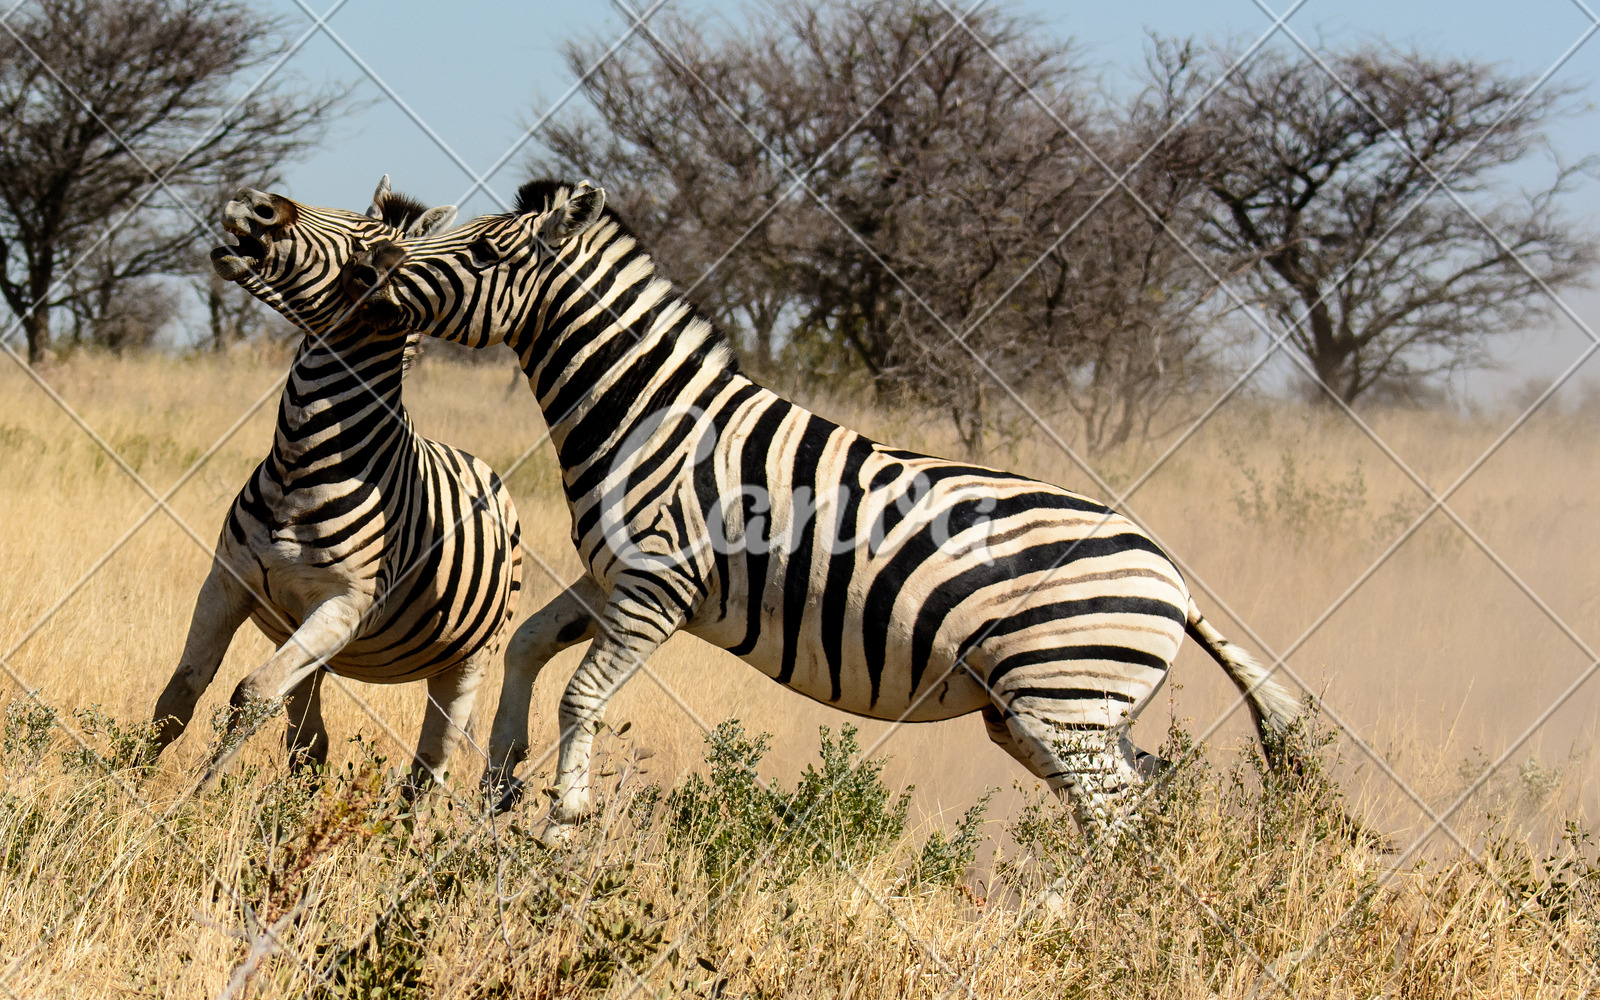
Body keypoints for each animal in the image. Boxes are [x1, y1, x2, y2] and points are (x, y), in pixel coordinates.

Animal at [150, 179, 518, 787]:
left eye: (365, 253)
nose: (253, 203)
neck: (299, 462)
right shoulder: (226, 580)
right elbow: (178, 693)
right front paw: (119, 780)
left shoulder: (344, 606)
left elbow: (252, 693)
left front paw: (193, 797)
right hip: (306, 641)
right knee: (310, 746)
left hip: (466, 662)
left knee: (430, 766)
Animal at [240, 175, 1312, 838]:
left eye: (486, 252)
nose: (372, 277)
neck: (644, 413)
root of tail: (1174, 576)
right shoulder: (615, 575)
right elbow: (530, 645)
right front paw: (504, 777)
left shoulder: (658, 587)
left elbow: (584, 694)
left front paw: (561, 821)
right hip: (1050, 709)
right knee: (1138, 797)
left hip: (1062, 697)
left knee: (1116, 815)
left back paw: (1054, 928)